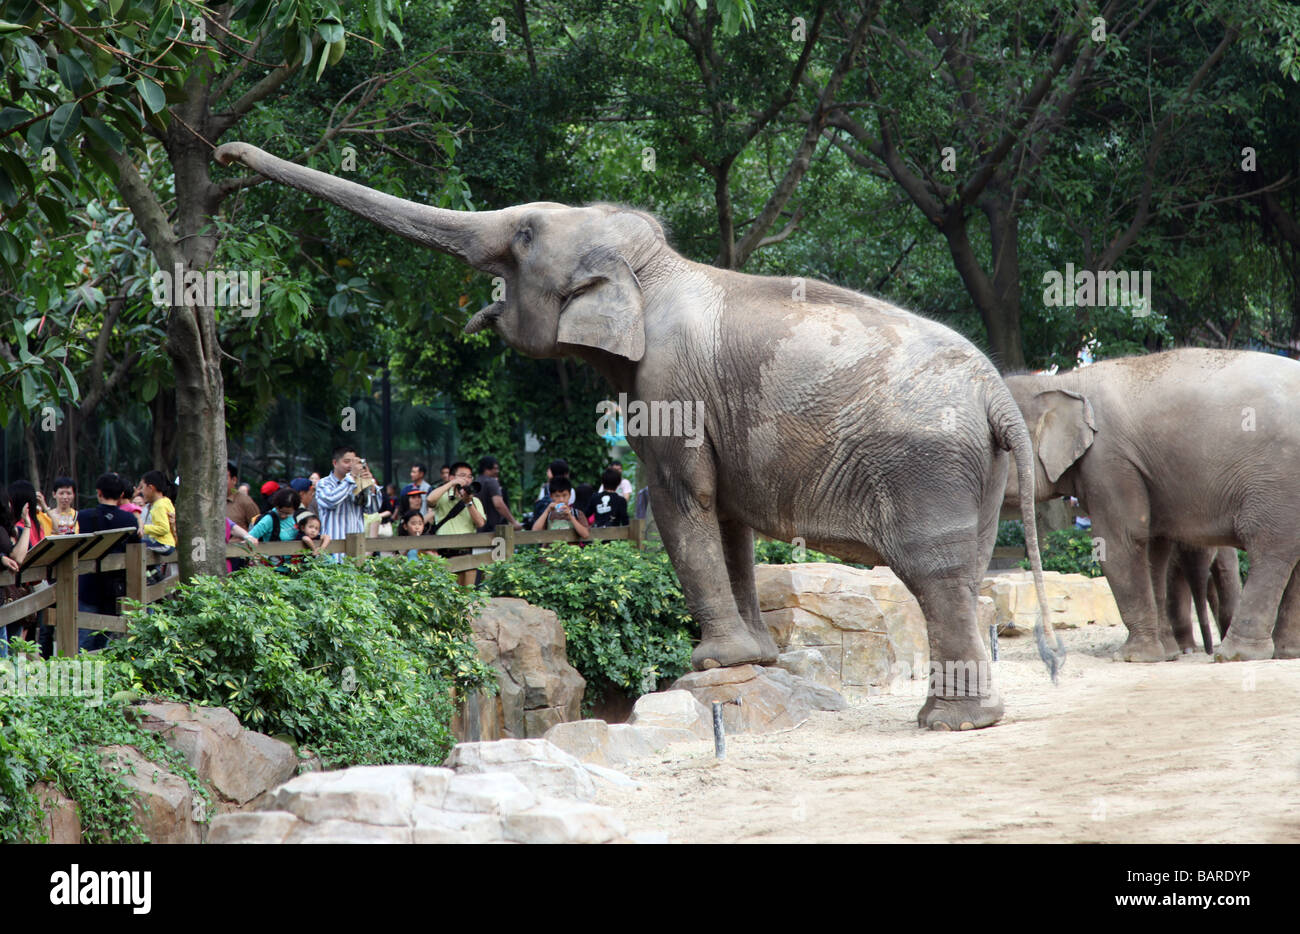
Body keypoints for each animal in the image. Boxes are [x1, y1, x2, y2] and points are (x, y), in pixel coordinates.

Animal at [213, 142, 1060, 733]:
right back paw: (964, 716)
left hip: (927, 462)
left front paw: (712, 664)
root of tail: (996, 391)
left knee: (935, 575)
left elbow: (686, 500)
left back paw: (949, 725)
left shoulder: (670, 383)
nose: (226, 155)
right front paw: (752, 660)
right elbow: (727, 518)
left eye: (525, 234)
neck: (653, 268)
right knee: (967, 574)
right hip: (975, 470)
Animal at [1003, 351, 1300, 666]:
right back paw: (1286, 653)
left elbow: (1120, 542)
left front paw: (1132, 657)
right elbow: (1154, 549)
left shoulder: (1109, 460)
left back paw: (1236, 655)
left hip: (1278, 481)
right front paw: (1166, 654)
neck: (1062, 381)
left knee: (1270, 550)